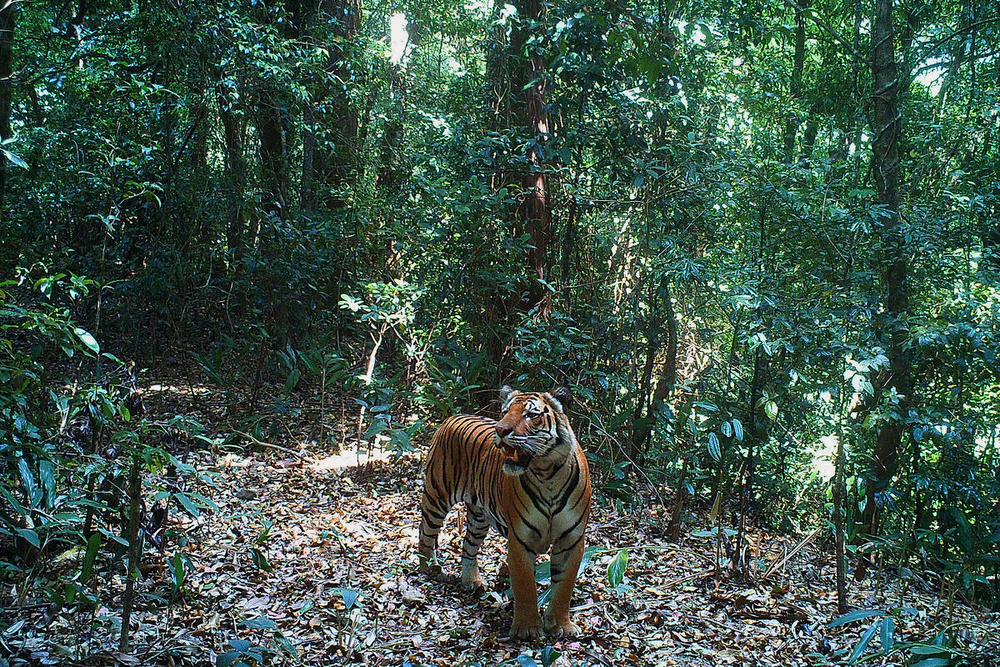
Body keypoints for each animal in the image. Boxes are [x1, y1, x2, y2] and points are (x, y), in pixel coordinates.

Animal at [416, 386, 588, 640]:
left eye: (530, 415)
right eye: (505, 412)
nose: (500, 430)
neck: (547, 475)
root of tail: (452, 417)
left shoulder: (571, 540)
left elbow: (564, 586)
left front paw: (561, 625)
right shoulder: (520, 538)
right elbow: (525, 585)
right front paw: (528, 628)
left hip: (479, 516)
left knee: (468, 545)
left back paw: (472, 581)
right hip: (437, 496)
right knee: (425, 532)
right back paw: (429, 568)